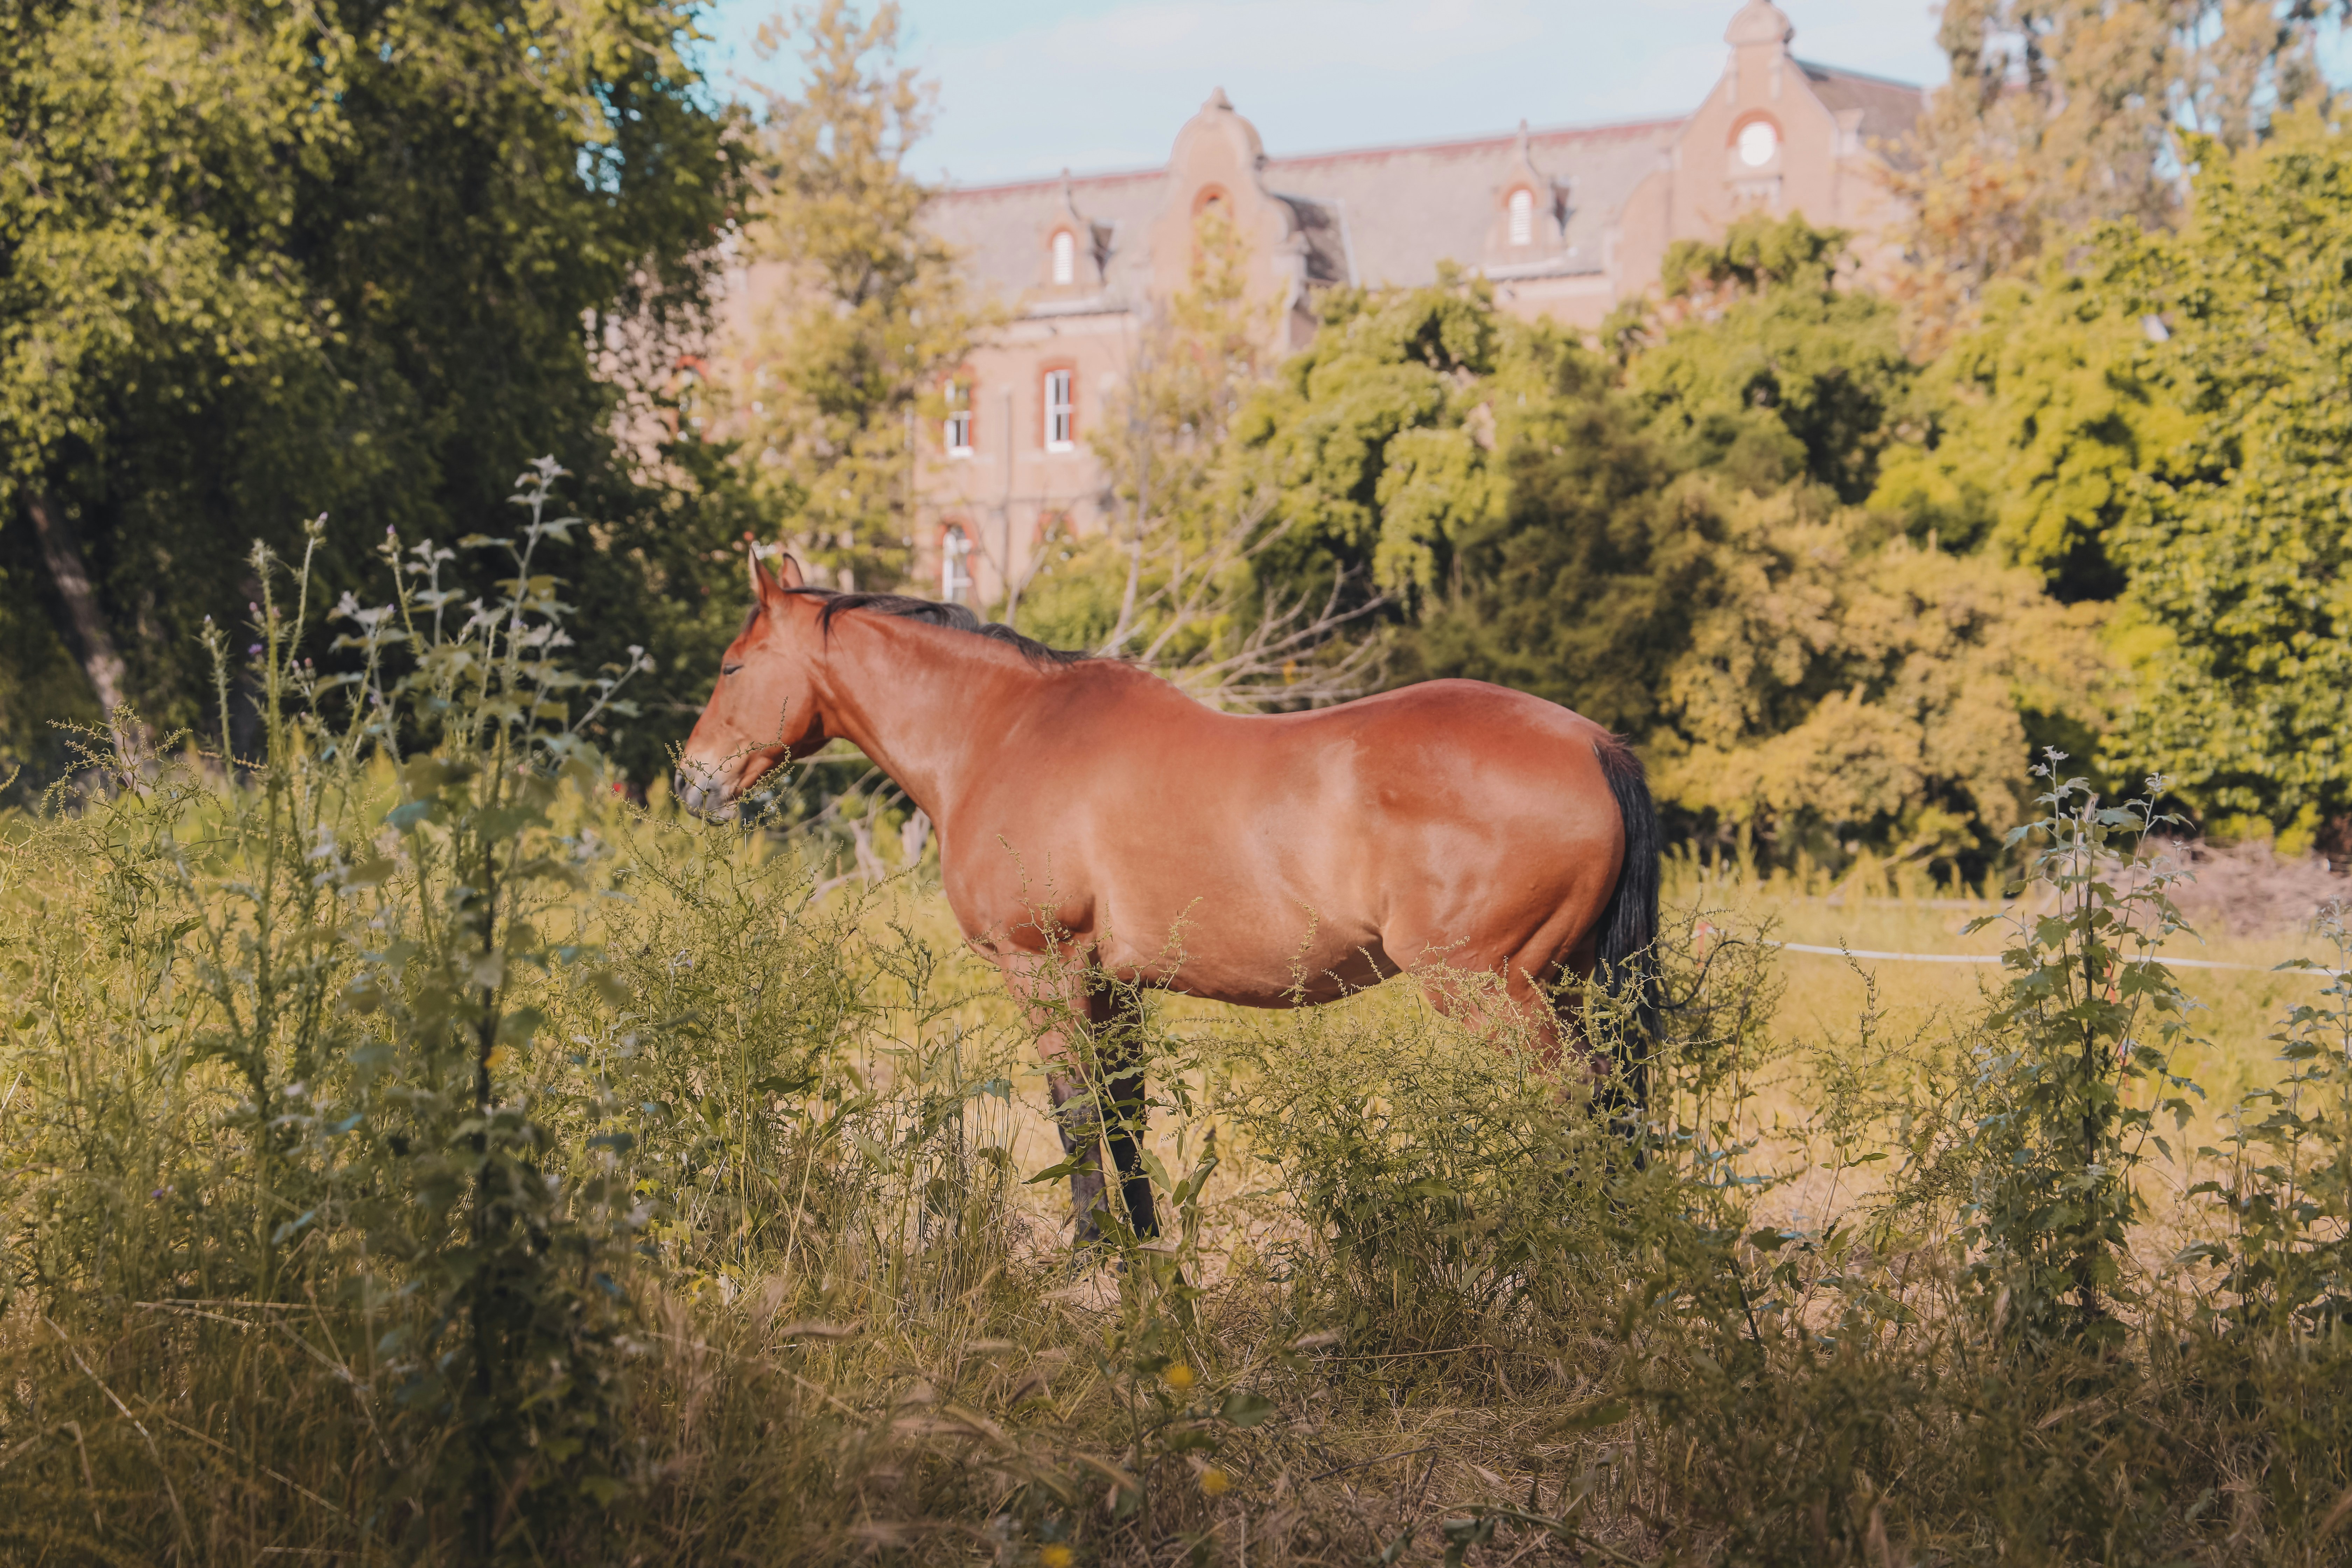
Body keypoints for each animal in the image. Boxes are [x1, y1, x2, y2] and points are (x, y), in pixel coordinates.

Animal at [675, 550, 1660, 1247]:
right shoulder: (1113, 985)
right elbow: (1122, 1113)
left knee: (1576, 1100)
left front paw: (1089, 1248)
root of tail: (1594, 744)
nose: (692, 782)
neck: (1005, 732)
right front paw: (1144, 1243)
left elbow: (1074, 1112)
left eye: (731, 668)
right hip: (1568, 985)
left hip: (1491, 989)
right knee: (1614, 1101)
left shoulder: (1045, 969)